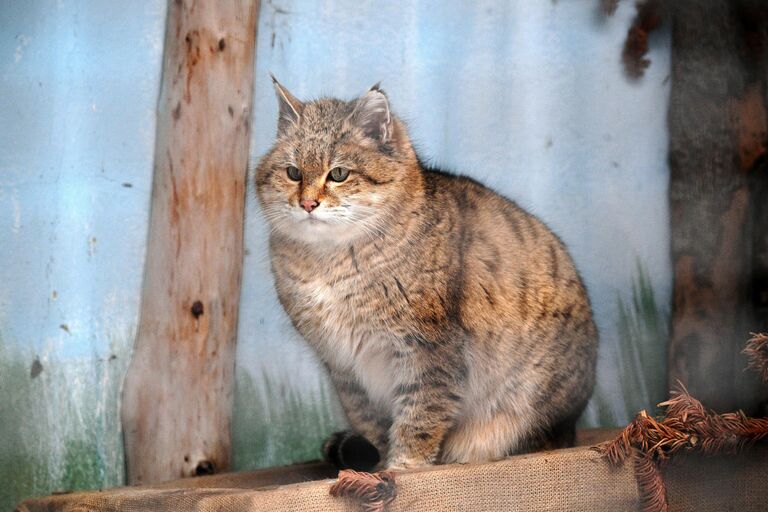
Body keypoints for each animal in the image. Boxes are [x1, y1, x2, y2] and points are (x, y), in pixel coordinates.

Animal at [255, 77, 596, 472]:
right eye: (293, 172)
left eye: (338, 174)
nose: (307, 203)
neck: (328, 260)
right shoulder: (344, 368)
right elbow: (373, 422)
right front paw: (380, 468)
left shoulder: (429, 350)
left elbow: (420, 416)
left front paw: (402, 469)